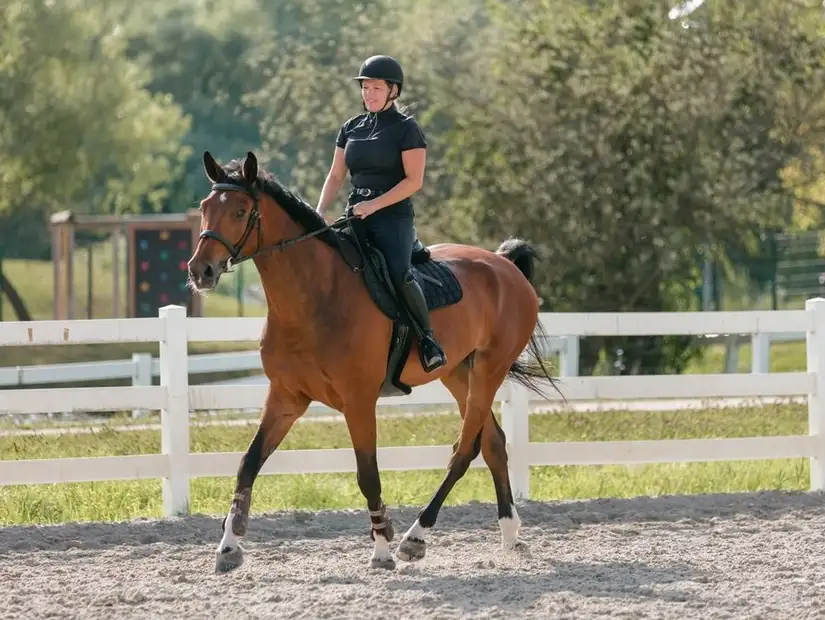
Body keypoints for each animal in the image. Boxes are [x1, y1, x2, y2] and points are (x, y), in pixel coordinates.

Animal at [187, 153, 560, 572]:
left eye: (239, 211)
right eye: (204, 208)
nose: (200, 271)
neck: (315, 296)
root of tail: (503, 263)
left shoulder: (359, 402)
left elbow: (368, 475)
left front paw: (382, 547)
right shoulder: (286, 397)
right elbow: (248, 463)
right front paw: (229, 546)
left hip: (489, 371)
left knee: (464, 450)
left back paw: (416, 537)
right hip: (458, 373)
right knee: (493, 441)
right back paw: (510, 535)